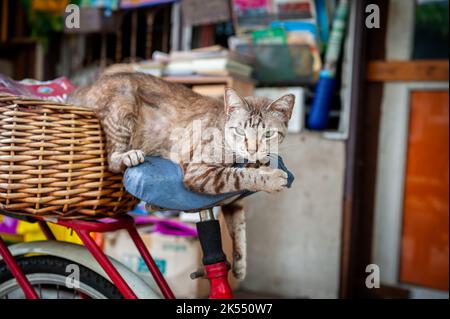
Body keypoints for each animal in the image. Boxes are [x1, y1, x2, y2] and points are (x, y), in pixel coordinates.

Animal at [68, 67, 294, 280]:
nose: (252, 149)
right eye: (240, 131)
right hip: (123, 106)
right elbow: (239, 176)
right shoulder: (199, 172)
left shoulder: (233, 202)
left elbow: (239, 228)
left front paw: (239, 265)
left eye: (268, 134)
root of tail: (83, 90)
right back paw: (129, 156)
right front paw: (272, 177)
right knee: (112, 159)